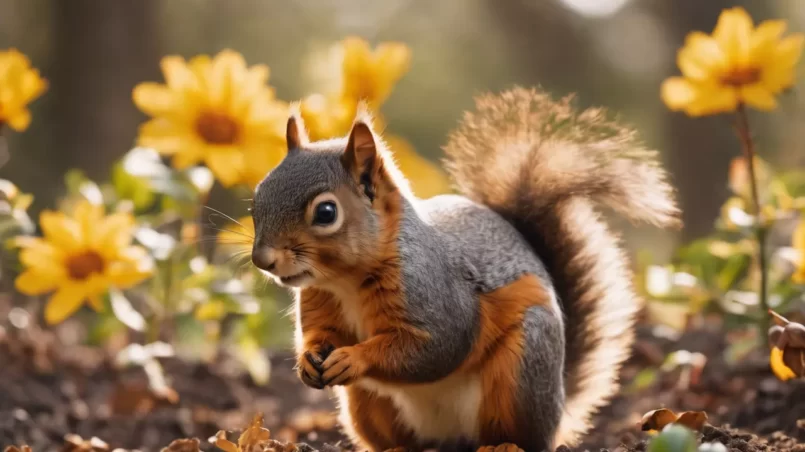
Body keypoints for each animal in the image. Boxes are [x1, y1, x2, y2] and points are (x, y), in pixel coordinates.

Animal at [251, 87, 680, 452]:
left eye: (326, 212)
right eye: (257, 197)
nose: (262, 260)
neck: (345, 282)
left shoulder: (435, 294)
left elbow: (434, 347)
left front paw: (354, 358)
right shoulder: (320, 301)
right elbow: (320, 334)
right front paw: (309, 359)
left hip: (522, 370)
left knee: (520, 436)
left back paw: (501, 446)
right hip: (368, 402)